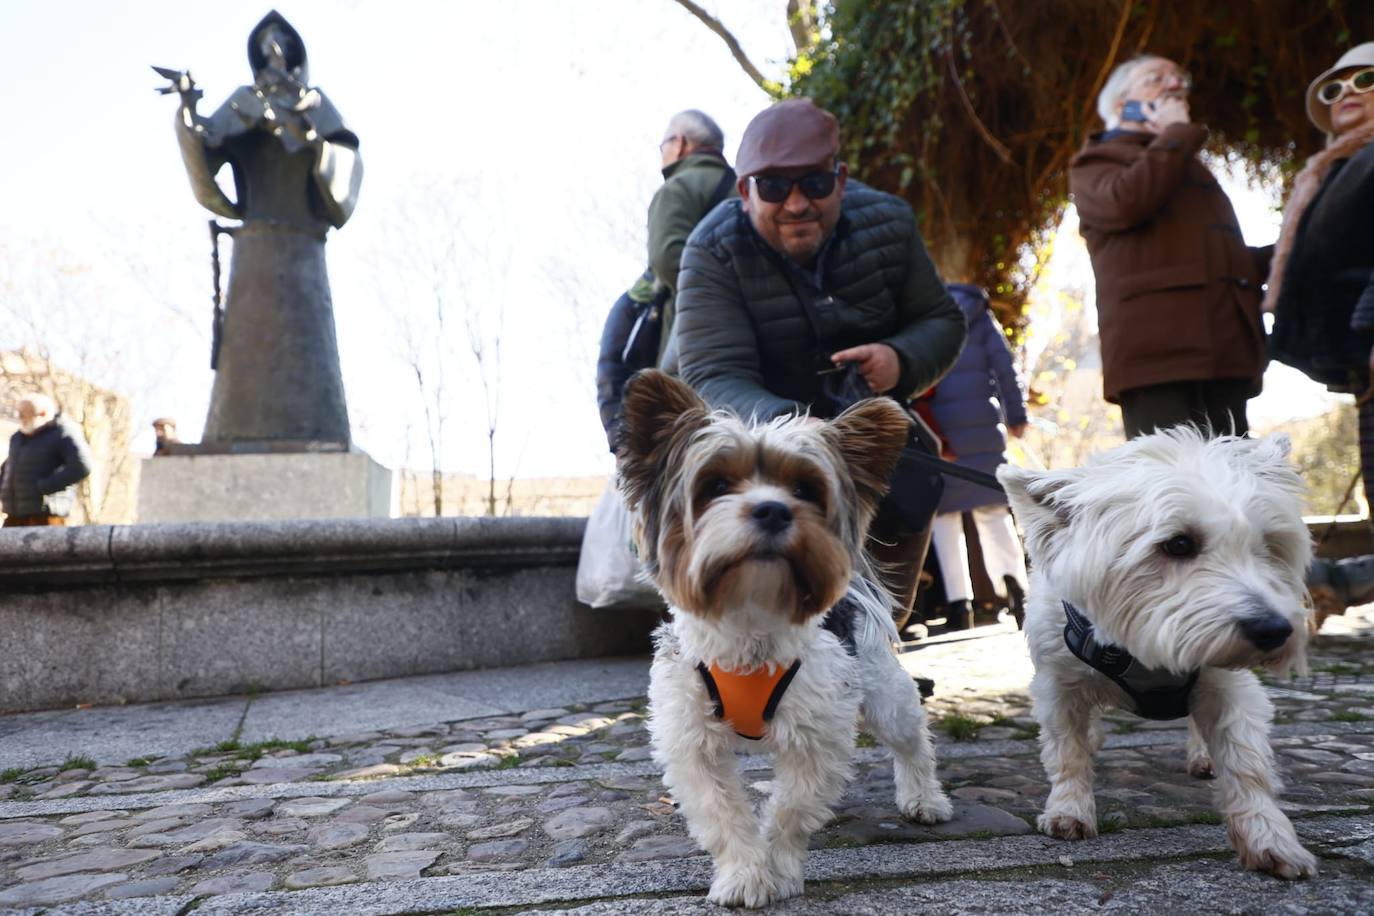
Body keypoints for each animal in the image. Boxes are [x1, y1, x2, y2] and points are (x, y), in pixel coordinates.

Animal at [623, 368, 956, 906]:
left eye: (804, 488)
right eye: (716, 484)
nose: (774, 510)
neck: (750, 622)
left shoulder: (814, 735)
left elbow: (792, 809)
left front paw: (776, 869)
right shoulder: (693, 741)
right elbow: (722, 812)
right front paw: (744, 873)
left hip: (887, 698)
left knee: (912, 744)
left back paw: (924, 797)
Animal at [1000, 431, 1319, 878]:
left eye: (1268, 547)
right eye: (1178, 544)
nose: (1274, 631)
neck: (1139, 649)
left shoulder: (1227, 685)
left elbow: (1246, 761)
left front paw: (1269, 838)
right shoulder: (1057, 685)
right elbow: (1067, 751)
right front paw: (1069, 810)